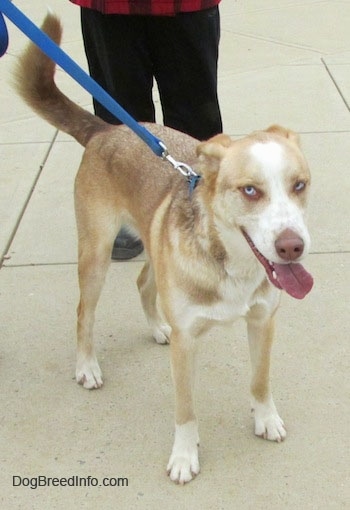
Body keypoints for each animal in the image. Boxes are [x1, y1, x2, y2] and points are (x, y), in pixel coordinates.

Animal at [14, 12, 314, 486]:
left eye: (299, 185)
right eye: (250, 190)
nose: (292, 248)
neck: (231, 265)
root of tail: (108, 129)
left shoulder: (263, 322)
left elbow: (260, 381)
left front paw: (266, 419)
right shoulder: (187, 345)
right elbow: (186, 411)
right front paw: (184, 457)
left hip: (154, 244)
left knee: (143, 282)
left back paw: (157, 326)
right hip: (96, 253)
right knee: (84, 313)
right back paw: (87, 367)